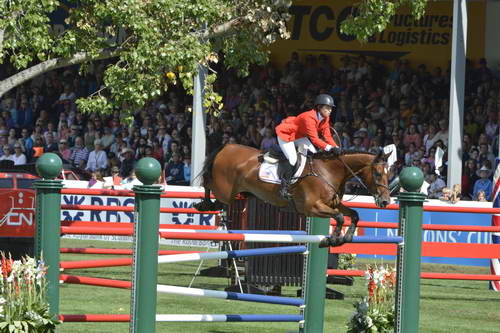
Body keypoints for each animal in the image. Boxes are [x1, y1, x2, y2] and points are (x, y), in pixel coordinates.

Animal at [193, 144, 392, 245]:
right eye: (377, 174)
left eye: (389, 173)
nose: (385, 201)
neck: (329, 171)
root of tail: (226, 147)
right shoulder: (313, 207)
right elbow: (340, 217)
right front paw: (333, 240)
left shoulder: (332, 203)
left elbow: (354, 214)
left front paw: (347, 237)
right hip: (224, 189)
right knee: (207, 183)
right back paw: (202, 204)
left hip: (239, 192)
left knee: (219, 199)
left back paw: (208, 205)